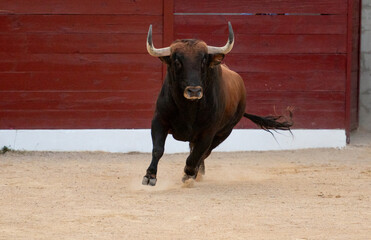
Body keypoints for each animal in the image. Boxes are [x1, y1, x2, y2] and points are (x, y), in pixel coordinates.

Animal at [142, 22, 294, 186]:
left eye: (203, 61)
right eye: (177, 62)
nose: (194, 91)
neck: (188, 108)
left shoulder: (208, 132)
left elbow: (195, 156)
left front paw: (188, 175)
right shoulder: (159, 120)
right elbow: (158, 149)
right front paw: (150, 176)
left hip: (224, 132)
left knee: (203, 153)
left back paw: (196, 174)